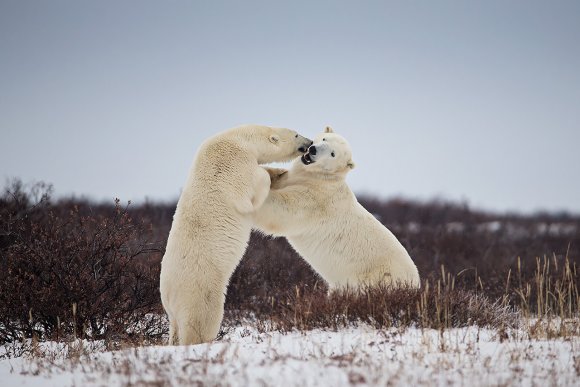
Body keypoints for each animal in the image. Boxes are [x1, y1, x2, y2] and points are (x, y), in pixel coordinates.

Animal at [159, 124, 312, 346]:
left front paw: (279, 172)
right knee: (201, 321)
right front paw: (267, 178)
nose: (310, 143)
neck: (240, 139)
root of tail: (170, 298)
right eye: (296, 134)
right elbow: (250, 191)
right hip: (200, 291)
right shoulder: (235, 163)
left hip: (173, 307)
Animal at [251, 127, 420, 292]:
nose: (313, 150)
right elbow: (281, 179)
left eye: (333, 154)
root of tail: (415, 284)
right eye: (324, 138)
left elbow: (283, 210)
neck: (322, 179)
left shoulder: (316, 201)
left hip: (375, 278)